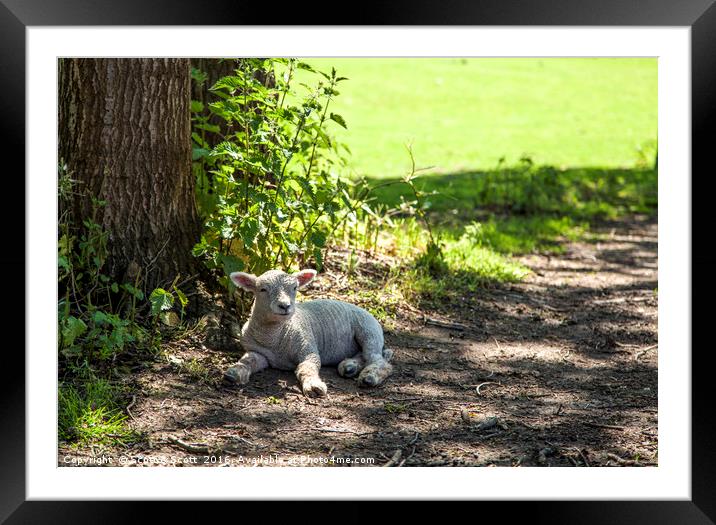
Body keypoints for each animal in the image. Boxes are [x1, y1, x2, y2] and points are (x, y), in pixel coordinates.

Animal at [222, 268, 394, 396]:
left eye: (295, 288)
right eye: (262, 289)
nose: (285, 306)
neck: (274, 339)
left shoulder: (308, 348)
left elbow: (307, 367)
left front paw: (313, 386)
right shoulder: (259, 352)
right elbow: (248, 360)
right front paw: (234, 373)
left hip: (368, 331)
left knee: (379, 359)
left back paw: (369, 376)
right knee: (367, 356)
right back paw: (350, 367)